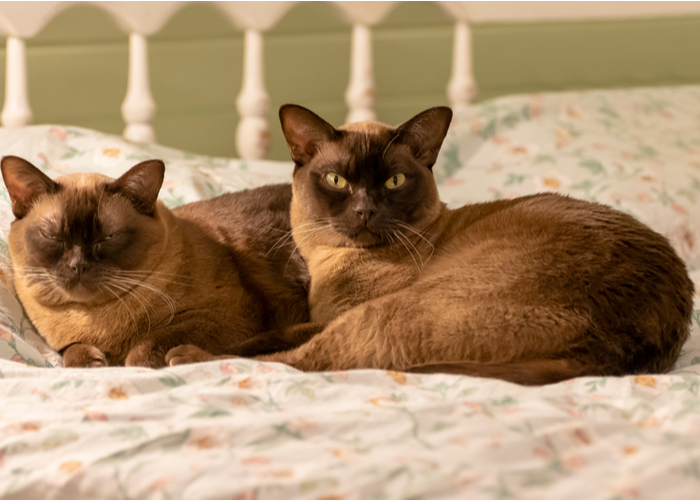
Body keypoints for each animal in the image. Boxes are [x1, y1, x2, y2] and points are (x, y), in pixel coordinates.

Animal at [2, 156, 314, 368]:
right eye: (53, 237)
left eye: (108, 236)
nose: (78, 265)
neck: (93, 317)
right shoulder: (66, 341)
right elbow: (72, 352)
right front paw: (92, 363)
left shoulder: (229, 316)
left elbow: (146, 346)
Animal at [165, 105, 696, 384]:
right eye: (337, 180)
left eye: (394, 180)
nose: (365, 210)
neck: (331, 263)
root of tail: (614, 348)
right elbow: (275, 335)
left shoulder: (334, 315)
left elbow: (270, 340)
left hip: (390, 312)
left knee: (302, 364)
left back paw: (182, 357)